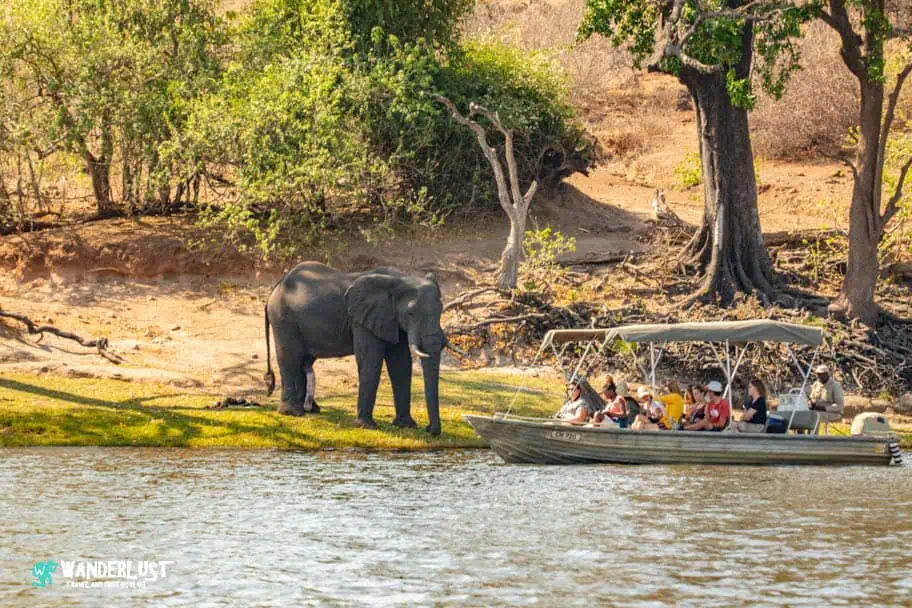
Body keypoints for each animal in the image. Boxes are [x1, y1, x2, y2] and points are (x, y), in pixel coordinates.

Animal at [263, 262, 446, 435]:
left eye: (441, 310)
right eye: (410, 314)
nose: (429, 429)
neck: (401, 279)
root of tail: (276, 287)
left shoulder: (390, 318)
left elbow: (401, 362)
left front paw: (406, 426)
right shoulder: (361, 318)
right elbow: (370, 358)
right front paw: (367, 426)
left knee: (304, 361)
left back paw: (311, 410)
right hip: (283, 317)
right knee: (291, 358)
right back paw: (292, 413)